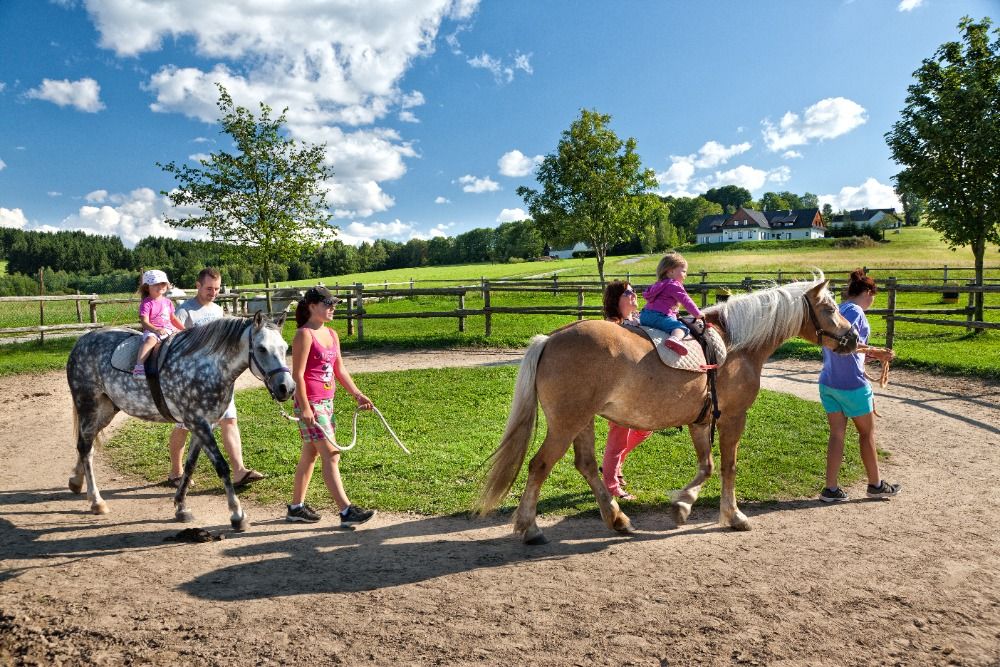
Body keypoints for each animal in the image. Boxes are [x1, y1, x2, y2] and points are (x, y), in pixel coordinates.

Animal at [65, 312, 292, 532]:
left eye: (284, 348)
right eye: (262, 348)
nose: (286, 388)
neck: (207, 368)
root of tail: (82, 340)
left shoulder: (204, 425)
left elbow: (190, 465)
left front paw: (181, 507)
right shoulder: (198, 423)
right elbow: (221, 466)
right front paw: (237, 515)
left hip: (106, 410)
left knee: (86, 446)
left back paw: (76, 482)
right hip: (88, 406)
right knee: (85, 448)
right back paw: (96, 502)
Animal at [478, 276, 860, 544]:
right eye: (830, 309)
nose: (853, 337)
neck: (735, 345)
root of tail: (551, 338)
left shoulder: (701, 421)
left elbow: (706, 466)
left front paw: (683, 505)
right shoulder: (733, 418)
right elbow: (728, 466)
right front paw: (733, 515)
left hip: (582, 422)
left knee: (586, 465)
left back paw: (617, 518)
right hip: (566, 423)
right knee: (540, 465)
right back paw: (530, 528)